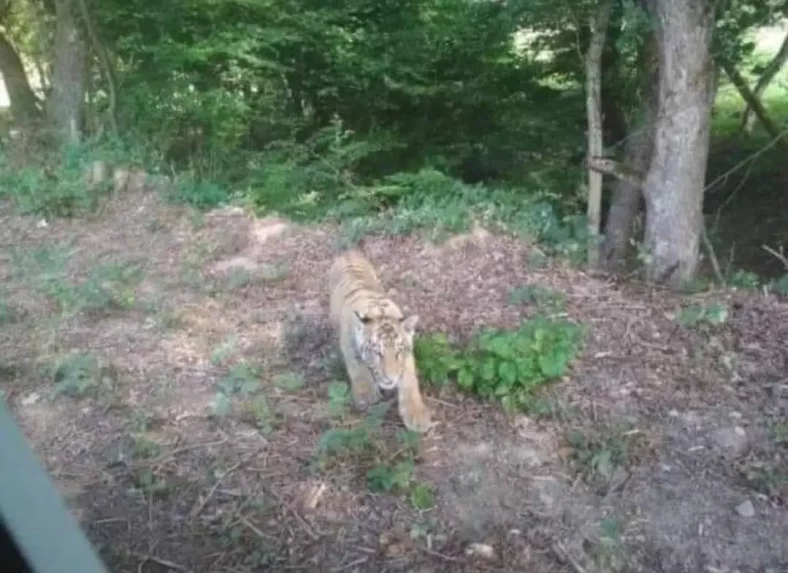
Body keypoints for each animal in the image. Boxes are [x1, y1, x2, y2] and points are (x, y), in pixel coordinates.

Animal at [330, 248, 434, 432]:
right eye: (377, 352)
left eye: (398, 352)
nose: (389, 379)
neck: (379, 312)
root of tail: (347, 252)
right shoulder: (348, 344)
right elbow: (356, 367)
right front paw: (366, 394)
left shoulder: (407, 356)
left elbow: (409, 380)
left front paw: (416, 414)